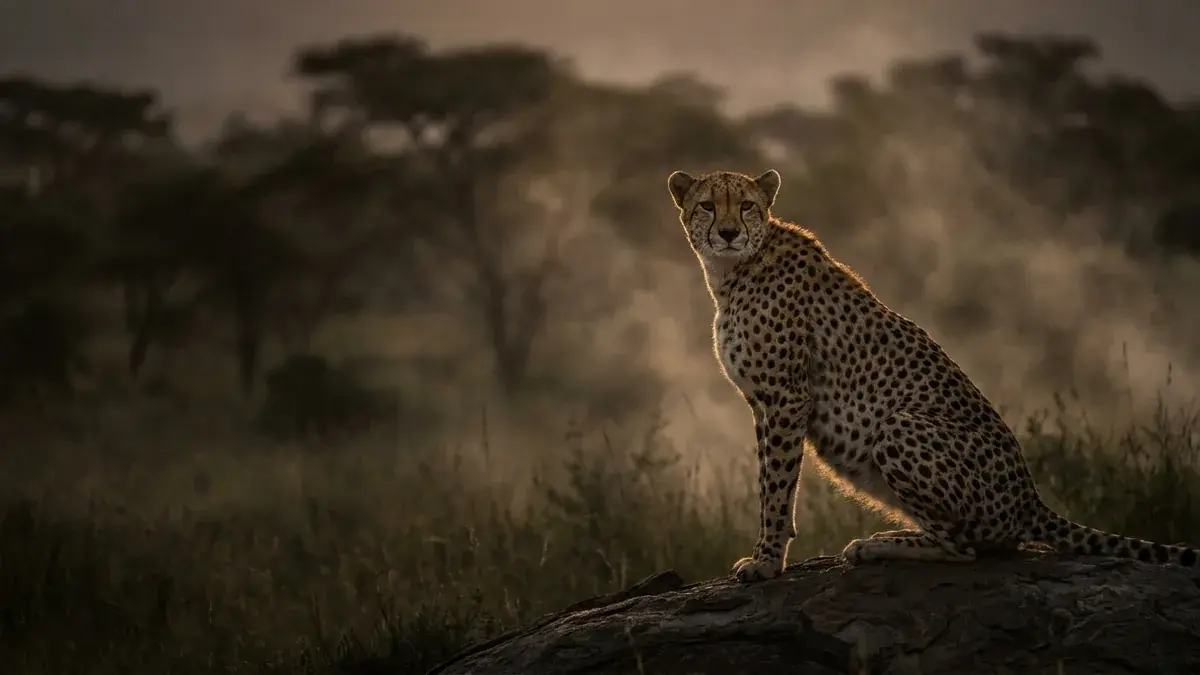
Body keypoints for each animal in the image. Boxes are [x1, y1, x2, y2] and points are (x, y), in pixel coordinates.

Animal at [666, 167, 1200, 582]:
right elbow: (770, 482)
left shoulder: (785, 399)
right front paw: (767, 555)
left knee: (965, 548)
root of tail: (1030, 498)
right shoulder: (765, 404)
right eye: (708, 206)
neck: (733, 271)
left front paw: (766, 562)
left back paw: (880, 544)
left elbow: (776, 488)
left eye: (747, 206)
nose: (729, 233)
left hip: (897, 428)